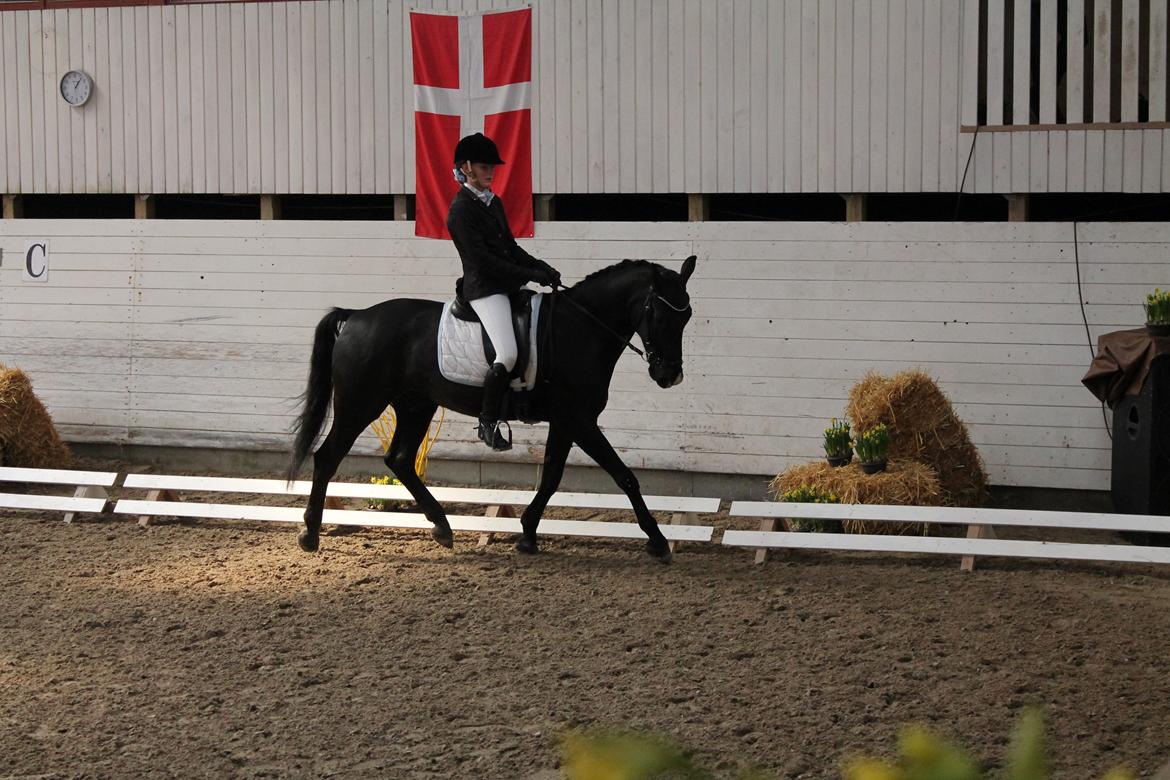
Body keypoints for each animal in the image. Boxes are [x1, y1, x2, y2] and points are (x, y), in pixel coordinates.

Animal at [286, 254, 696, 562]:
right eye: (660, 314)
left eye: (687, 316)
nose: (670, 375)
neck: (578, 328)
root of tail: (356, 315)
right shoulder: (578, 420)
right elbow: (624, 475)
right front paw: (658, 541)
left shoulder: (566, 422)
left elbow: (551, 477)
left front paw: (528, 534)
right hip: (360, 404)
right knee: (327, 457)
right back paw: (310, 533)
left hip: (416, 405)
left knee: (399, 459)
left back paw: (442, 527)